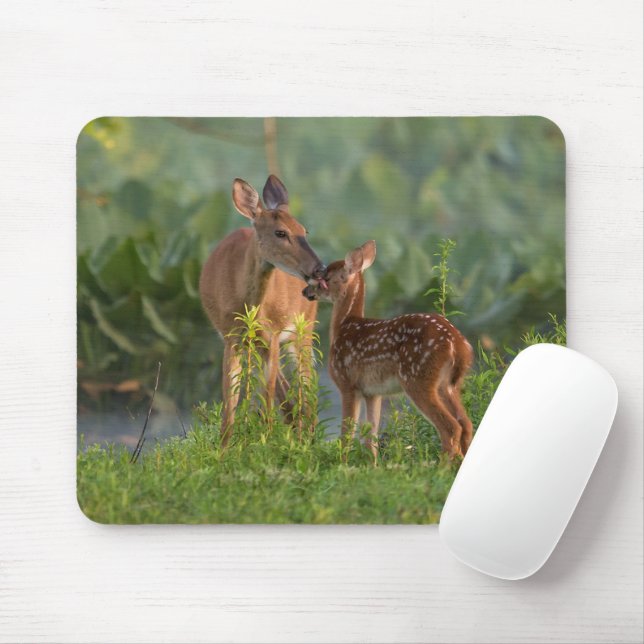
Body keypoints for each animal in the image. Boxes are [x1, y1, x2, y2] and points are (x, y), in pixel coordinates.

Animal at [199, 175, 326, 446]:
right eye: (280, 232)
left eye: (304, 231)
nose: (319, 268)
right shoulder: (231, 338)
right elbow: (230, 407)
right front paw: (225, 450)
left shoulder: (274, 335)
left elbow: (266, 402)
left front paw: (265, 444)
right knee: (287, 393)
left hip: (304, 330)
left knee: (308, 386)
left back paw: (308, 440)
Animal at [302, 240, 473, 460]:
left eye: (325, 278)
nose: (305, 292)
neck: (344, 325)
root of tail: (458, 345)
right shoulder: (373, 392)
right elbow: (371, 436)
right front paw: (372, 464)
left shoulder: (347, 382)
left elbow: (347, 433)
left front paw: (342, 462)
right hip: (449, 384)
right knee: (466, 423)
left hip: (418, 378)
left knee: (451, 427)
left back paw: (441, 466)